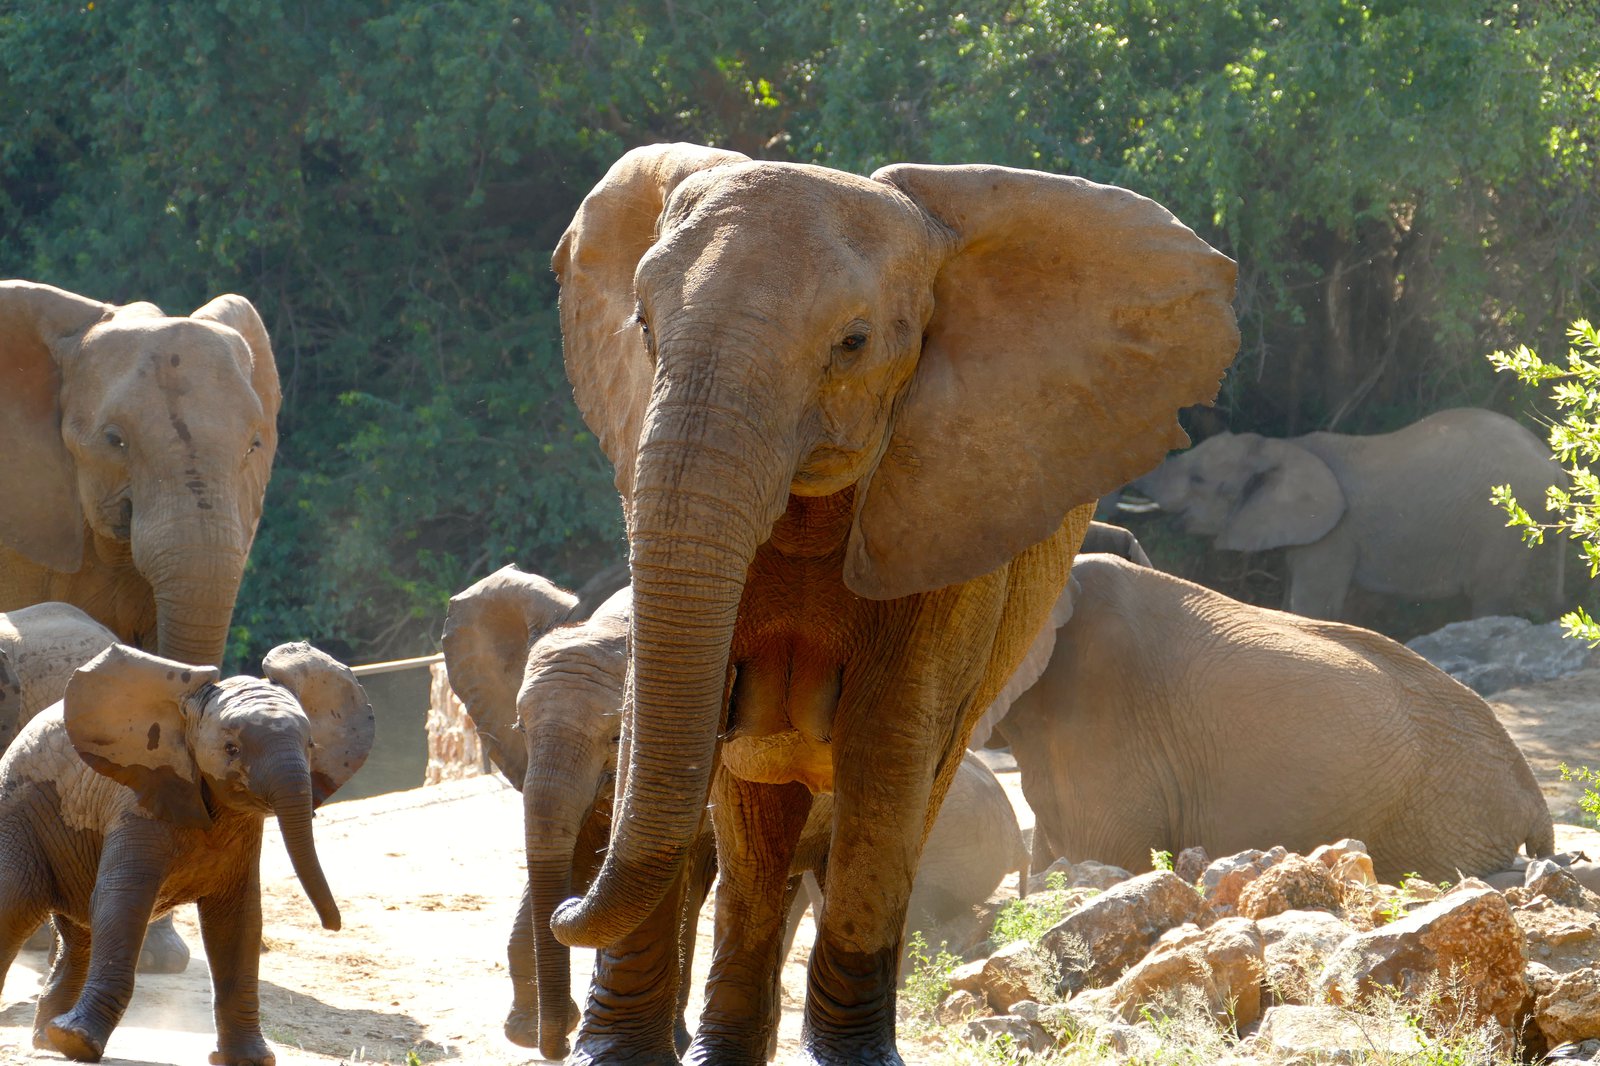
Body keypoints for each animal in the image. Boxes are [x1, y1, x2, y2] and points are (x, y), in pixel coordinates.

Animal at [0, 633, 372, 1056]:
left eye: (311, 745)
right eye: (231, 749)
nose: (333, 925)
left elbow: (239, 920)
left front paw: (251, 1060)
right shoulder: (137, 805)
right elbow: (121, 900)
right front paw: (79, 1045)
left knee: (79, 937)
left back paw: (46, 1040)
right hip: (20, 815)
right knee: (14, 906)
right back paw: (55, 1038)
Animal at [550, 143, 1235, 1062]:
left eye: (853, 342)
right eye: (644, 326)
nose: (563, 907)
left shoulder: (958, 510)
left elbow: (887, 745)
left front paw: (846, 1060)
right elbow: (717, 741)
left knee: (906, 788)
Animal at [1132, 406, 1568, 624]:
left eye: (1199, 479)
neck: (1285, 446)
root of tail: (1554, 463)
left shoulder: (1333, 536)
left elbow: (1312, 606)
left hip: (1505, 525)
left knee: (1488, 599)